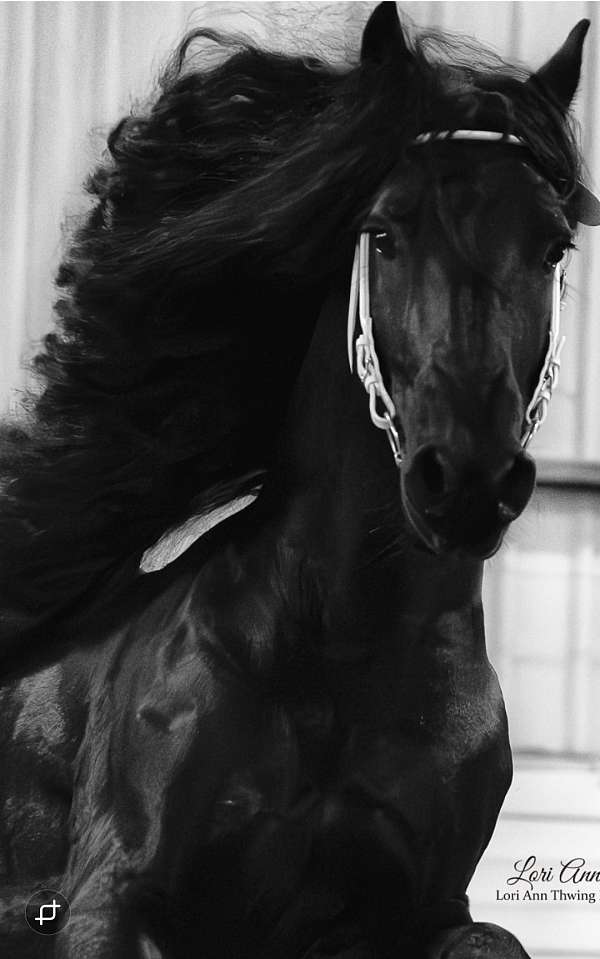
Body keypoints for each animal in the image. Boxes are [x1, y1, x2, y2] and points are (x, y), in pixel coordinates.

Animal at [1, 3, 599, 957]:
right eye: (382, 231)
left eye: (550, 246)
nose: (467, 480)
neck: (344, 651)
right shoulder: (109, 890)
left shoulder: (426, 911)